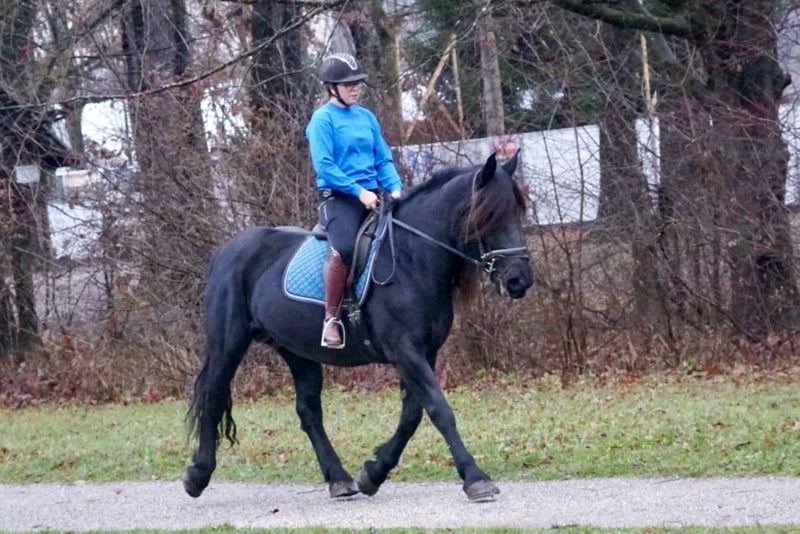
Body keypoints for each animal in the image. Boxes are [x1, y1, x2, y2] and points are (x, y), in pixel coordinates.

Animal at [184, 152, 534, 501]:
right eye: (489, 215)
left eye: (518, 212)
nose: (520, 280)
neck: (411, 259)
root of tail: (226, 250)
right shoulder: (405, 351)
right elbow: (439, 409)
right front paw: (476, 478)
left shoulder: (425, 352)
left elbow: (412, 415)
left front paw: (373, 473)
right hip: (228, 345)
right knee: (213, 396)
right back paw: (197, 475)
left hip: (298, 351)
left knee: (308, 411)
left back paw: (339, 479)